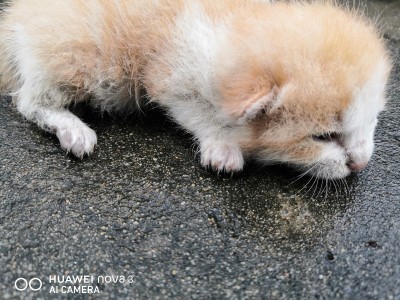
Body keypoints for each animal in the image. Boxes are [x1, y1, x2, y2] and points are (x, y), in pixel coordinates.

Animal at [0, 0, 390, 179]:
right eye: (322, 137)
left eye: (371, 121)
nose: (360, 164)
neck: (239, 22)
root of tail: (14, 22)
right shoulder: (167, 75)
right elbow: (199, 113)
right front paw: (222, 146)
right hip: (80, 57)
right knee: (29, 100)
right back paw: (72, 128)